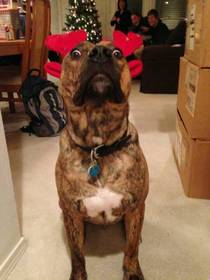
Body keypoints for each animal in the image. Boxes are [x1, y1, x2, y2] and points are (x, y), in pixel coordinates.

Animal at [55, 40, 148, 280]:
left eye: (117, 52)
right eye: (75, 53)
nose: (100, 53)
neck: (98, 150)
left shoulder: (136, 205)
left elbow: (131, 248)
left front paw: (132, 272)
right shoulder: (71, 211)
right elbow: (77, 255)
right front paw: (78, 275)